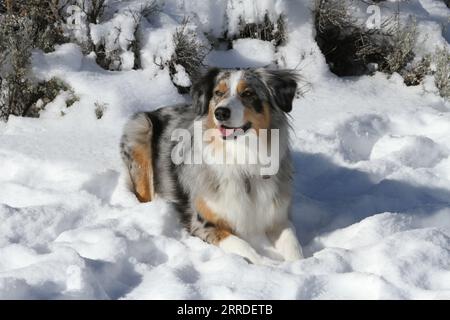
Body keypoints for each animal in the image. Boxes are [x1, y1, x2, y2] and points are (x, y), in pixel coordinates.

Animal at [120, 67, 302, 262]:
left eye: (248, 93)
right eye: (218, 93)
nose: (220, 112)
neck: (242, 158)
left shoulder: (278, 216)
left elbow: (294, 248)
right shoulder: (202, 223)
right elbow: (245, 248)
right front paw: (270, 265)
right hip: (141, 128)